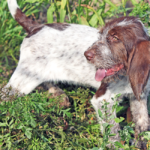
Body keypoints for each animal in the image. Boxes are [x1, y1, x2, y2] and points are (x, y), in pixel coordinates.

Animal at [84, 16, 150, 149]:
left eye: (115, 38)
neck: (126, 76)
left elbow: (142, 120)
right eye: (100, 36)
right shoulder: (102, 100)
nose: (86, 54)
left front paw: (140, 143)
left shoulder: (139, 95)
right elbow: (112, 130)